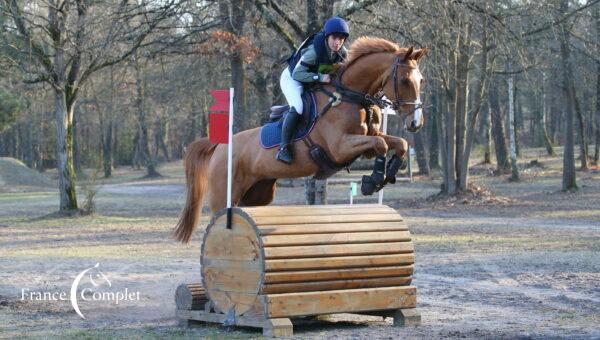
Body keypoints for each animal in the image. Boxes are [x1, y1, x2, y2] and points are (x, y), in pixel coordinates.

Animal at [173, 37, 426, 243]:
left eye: (421, 80)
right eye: (405, 81)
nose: (416, 123)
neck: (349, 96)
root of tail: (220, 146)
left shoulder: (367, 141)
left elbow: (398, 144)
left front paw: (386, 175)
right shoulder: (341, 147)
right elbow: (382, 145)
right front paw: (372, 181)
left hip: (257, 194)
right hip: (224, 195)